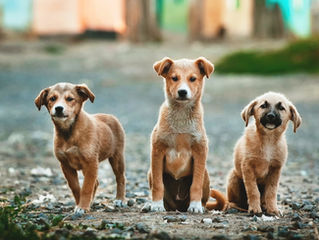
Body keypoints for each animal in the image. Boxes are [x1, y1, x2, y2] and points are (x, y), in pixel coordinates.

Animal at [34, 83, 126, 214]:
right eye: (52, 98)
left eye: (70, 99)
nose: (58, 108)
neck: (69, 132)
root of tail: (110, 116)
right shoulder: (66, 165)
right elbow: (76, 188)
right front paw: (80, 204)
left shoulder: (91, 163)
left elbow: (86, 187)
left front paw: (82, 207)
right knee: (96, 182)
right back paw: (91, 202)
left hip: (117, 157)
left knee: (120, 177)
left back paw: (120, 199)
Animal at [149, 57, 228, 213]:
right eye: (174, 78)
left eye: (193, 79)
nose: (182, 92)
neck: (181, 115)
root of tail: (178, 206)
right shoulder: (157, 150)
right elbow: (158, 184)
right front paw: (156, 204)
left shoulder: (200, 151)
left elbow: (195, 185)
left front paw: (195, 205)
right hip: (151, 172)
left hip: (206, 174)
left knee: (203, 197)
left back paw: (199, 206)